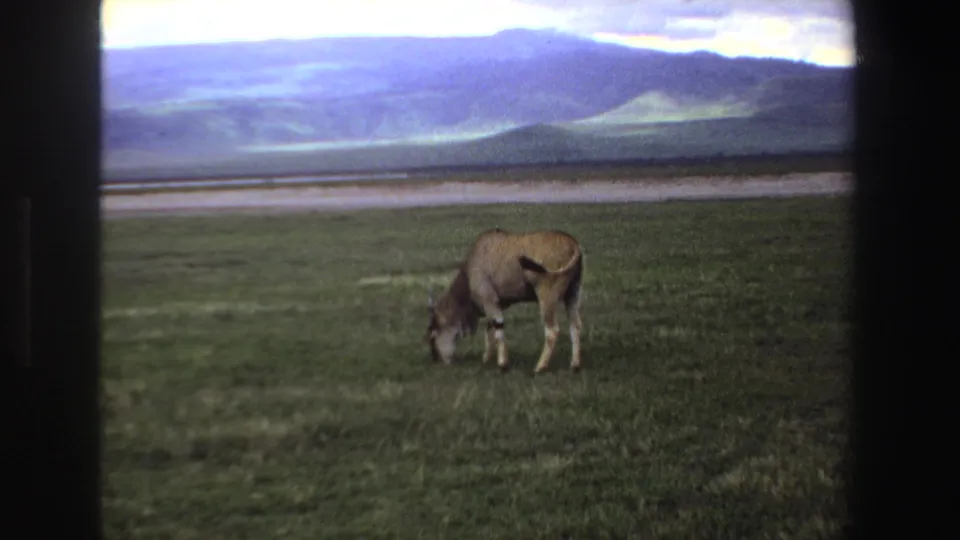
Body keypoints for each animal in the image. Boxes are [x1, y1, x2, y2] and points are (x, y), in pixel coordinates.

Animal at [424, 228, 585, 374]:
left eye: (433, 335)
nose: (435, 359)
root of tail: (572, 243)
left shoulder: (489, 300)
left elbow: (498, 328)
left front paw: (503, 364)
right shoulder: (495, 305)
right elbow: (490, 329)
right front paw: (486, 359)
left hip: (546, 296)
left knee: (552, 331)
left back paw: (540, 367)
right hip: (573, 295)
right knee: (575, 325)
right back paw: (575, 365)